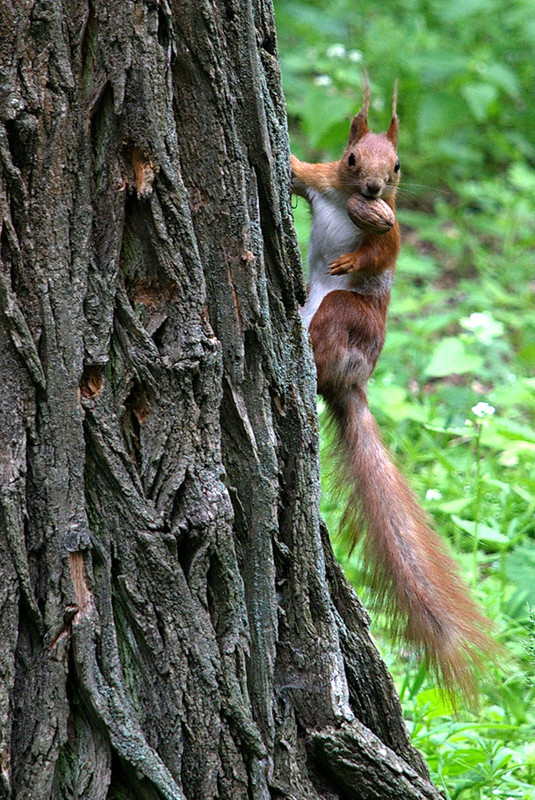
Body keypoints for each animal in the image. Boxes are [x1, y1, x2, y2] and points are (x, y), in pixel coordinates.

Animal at [294, 79, 494, 692]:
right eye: (352, 158)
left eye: (399, 166)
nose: (374, 188)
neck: (349, 204)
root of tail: (354, 380)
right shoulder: (319, 182)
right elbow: (299, 173)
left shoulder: (393, 229)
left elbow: (383, 248)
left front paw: (351, 256)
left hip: (347, 317)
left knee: (329, 327)